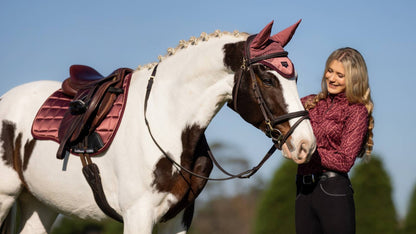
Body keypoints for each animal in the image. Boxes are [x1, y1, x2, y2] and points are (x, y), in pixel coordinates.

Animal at [0, 20, 316, 234]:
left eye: (295, 77)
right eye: (269, 79)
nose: (306, 144)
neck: (166, 121)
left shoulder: (177, 218)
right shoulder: (138, 216)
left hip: (39, 204)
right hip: (6, 197)